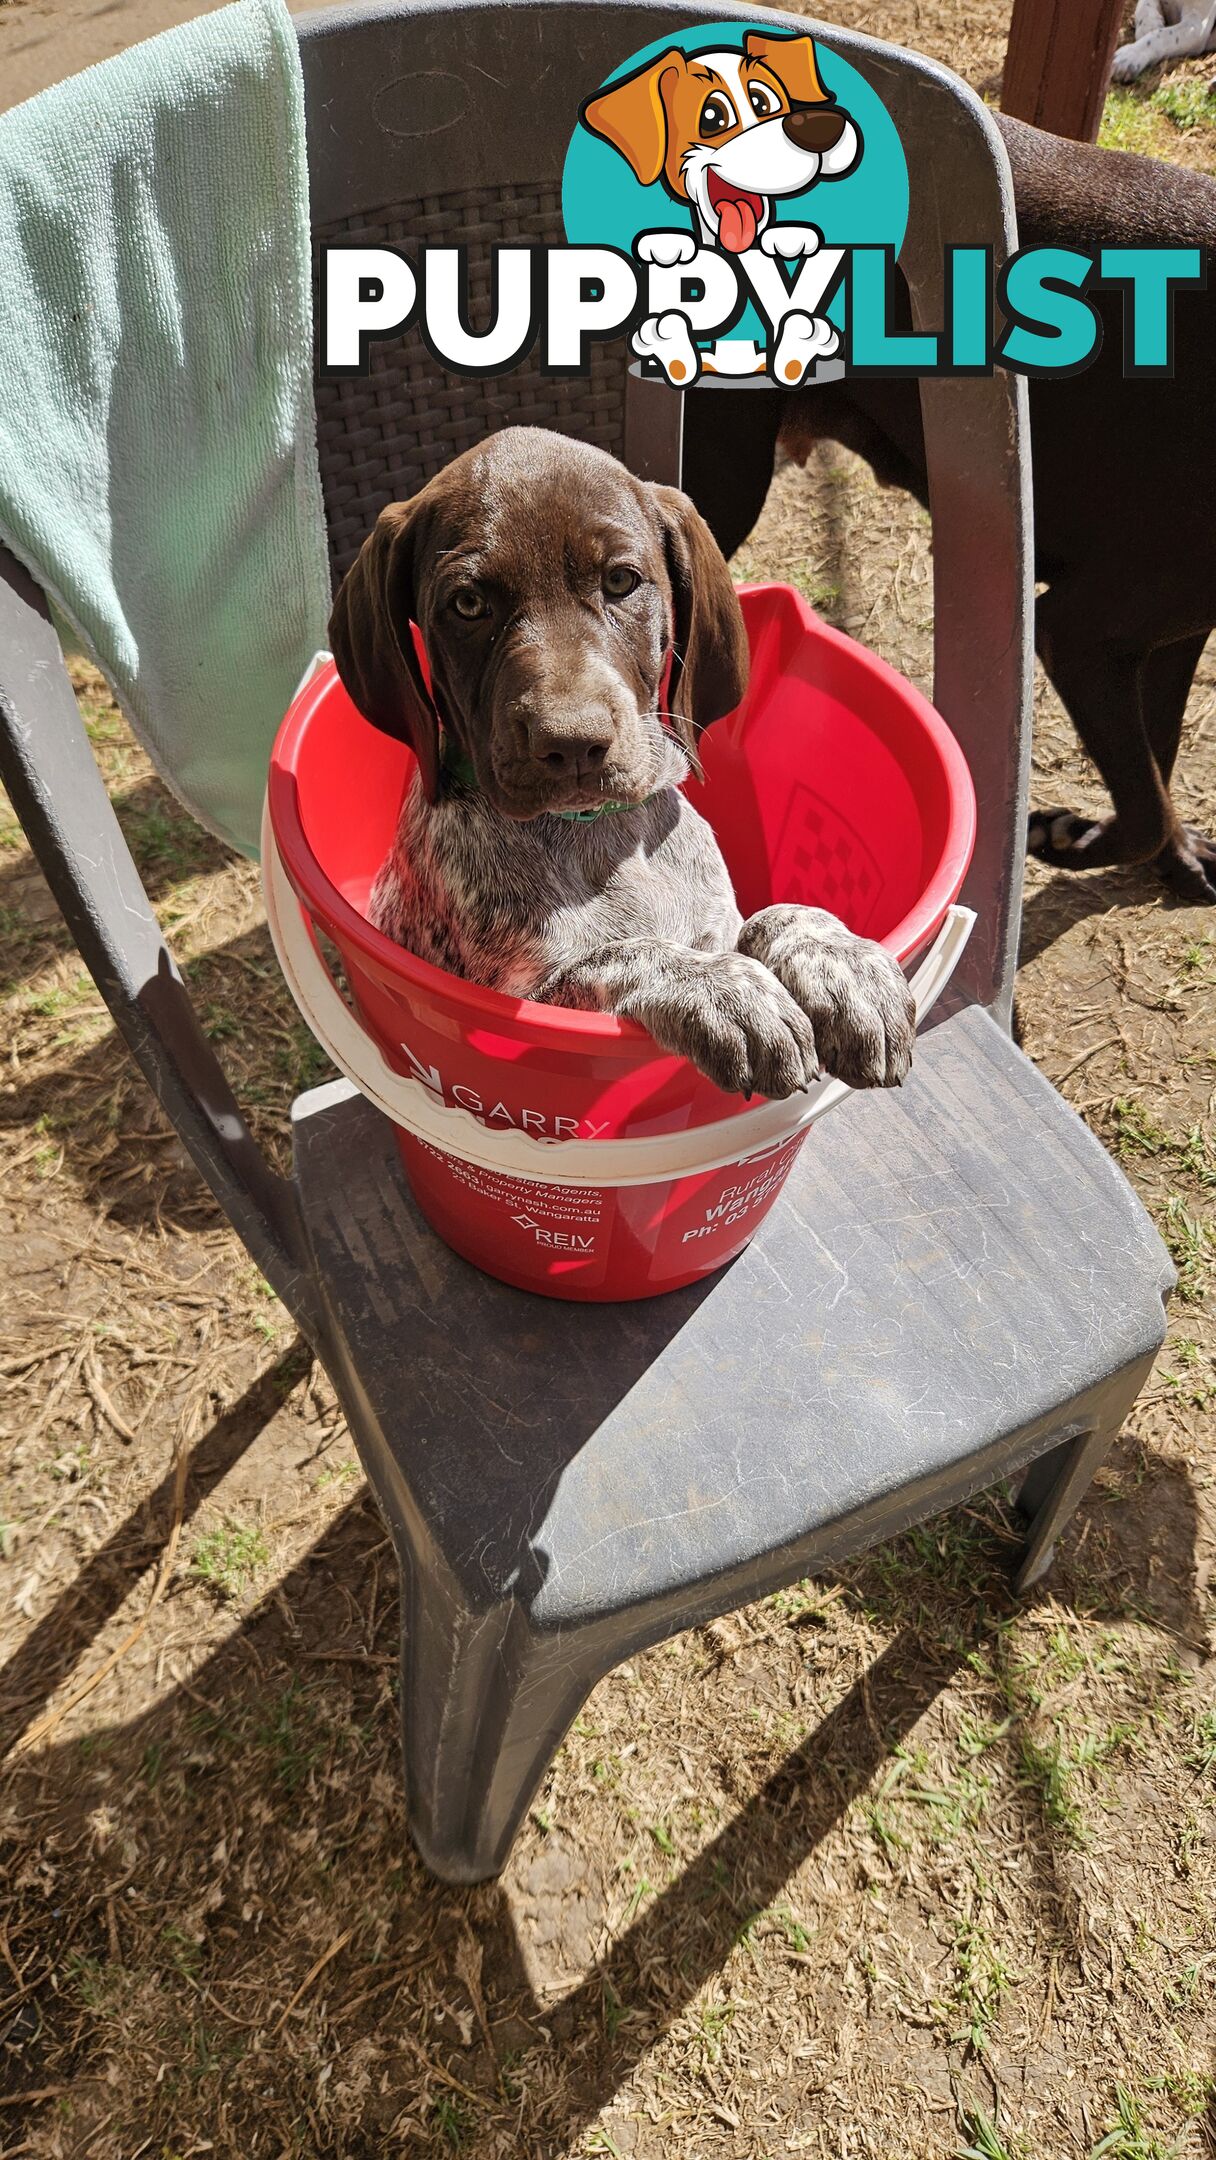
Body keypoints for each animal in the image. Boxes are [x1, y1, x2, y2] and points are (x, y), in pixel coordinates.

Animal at [328, 425, 920, 1097]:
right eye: (468, 604)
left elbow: (775, 915)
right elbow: (624, 953)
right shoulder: (532, 997)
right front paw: (726, 989)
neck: (605, 834)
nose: (571, 744)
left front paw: (842, 961)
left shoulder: (722, 922)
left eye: (620, 582)